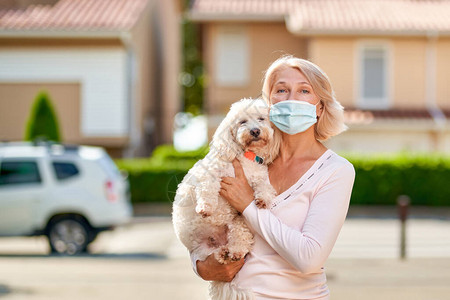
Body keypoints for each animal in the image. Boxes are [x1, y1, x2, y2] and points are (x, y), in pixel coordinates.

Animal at [173, 98, 282, 300]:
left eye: (261, 119)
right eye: (242, 122)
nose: (255, 131)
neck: (246, 156)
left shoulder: (259, 178)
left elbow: (265, 186)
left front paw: (263, 199)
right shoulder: (209, 173)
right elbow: (208, 188)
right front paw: (206, 207)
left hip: (239, 220)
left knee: (240, 238)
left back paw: (232, 251)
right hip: (204, 251)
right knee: (215, 255)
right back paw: (223, 254)